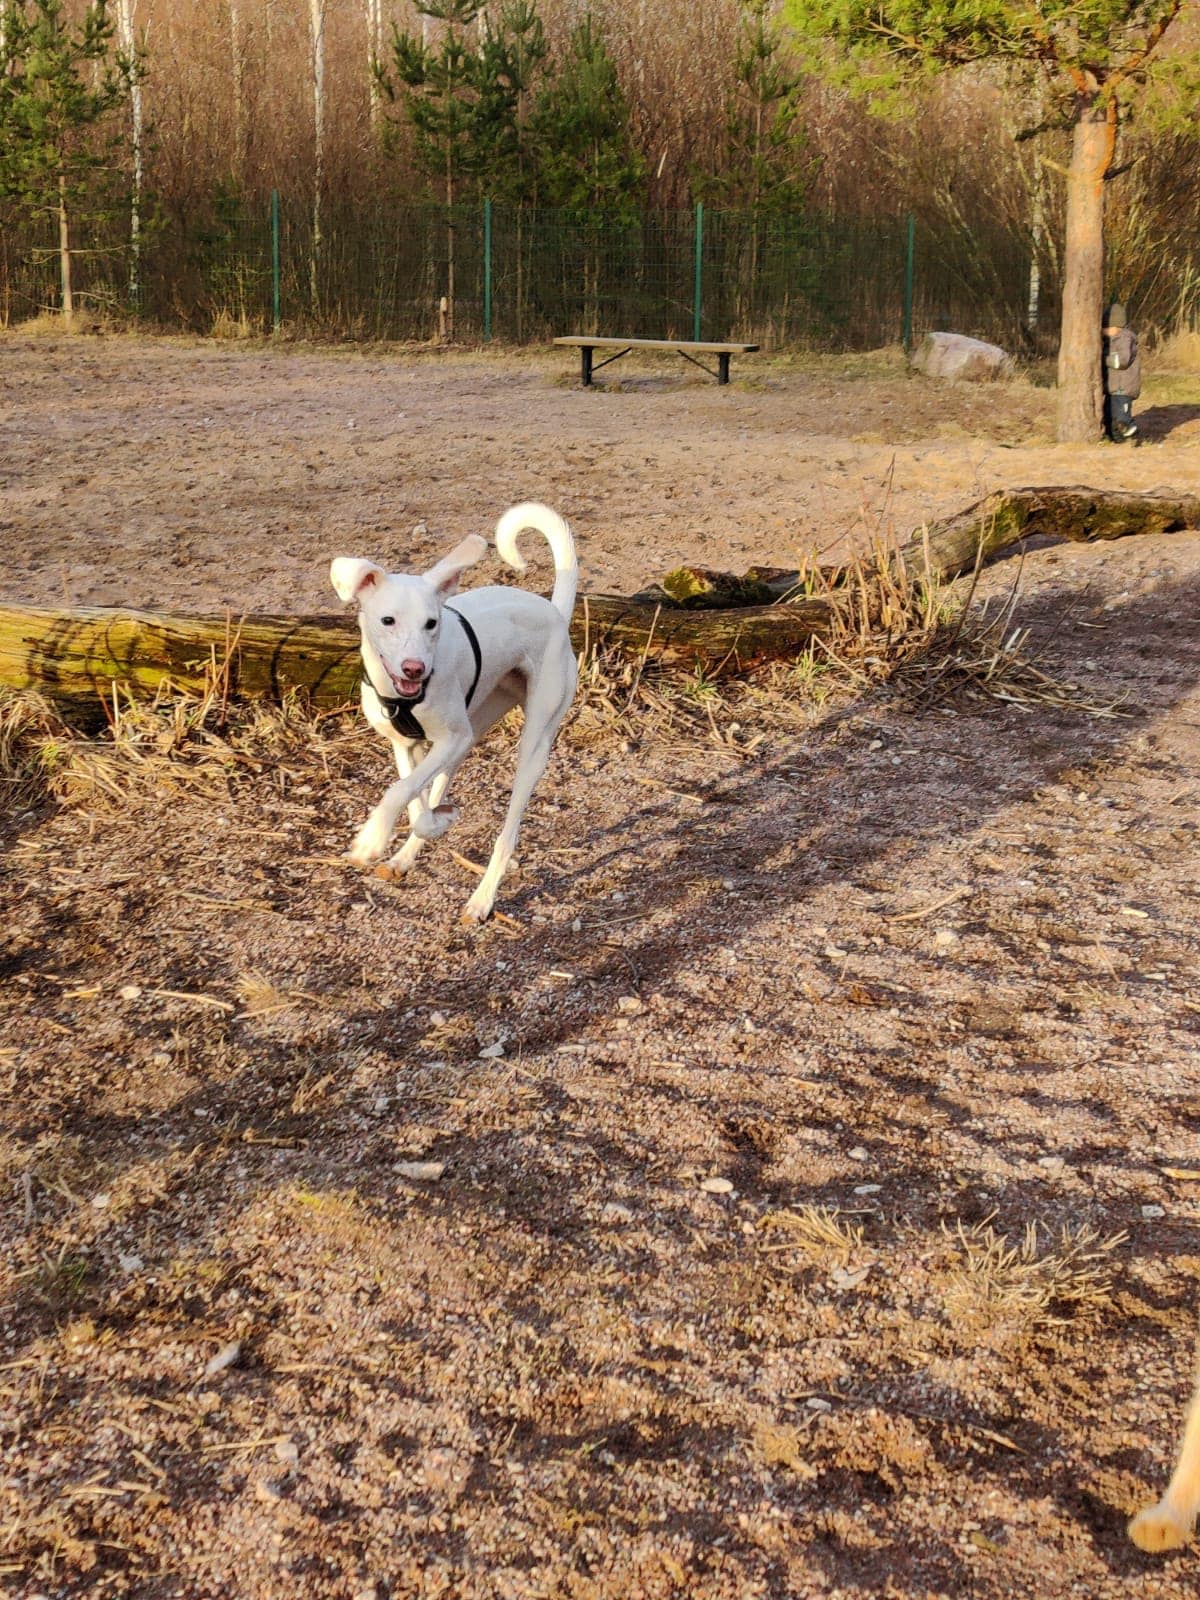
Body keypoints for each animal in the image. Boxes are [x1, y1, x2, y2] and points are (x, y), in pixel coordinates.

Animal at [331, 499, 579, 928]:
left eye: (432, 623)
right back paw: (406, 855)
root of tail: (555, 613)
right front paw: (435, 822)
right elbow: (414, 798)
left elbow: (398, 791)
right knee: (438, 786)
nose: (415, 669)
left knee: (507, 835)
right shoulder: (408, 745)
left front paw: (370, 840)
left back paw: (482, 900)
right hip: (471, 732)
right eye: (388, 620)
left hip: (531, 744)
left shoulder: (450, 738)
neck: (405, 697)